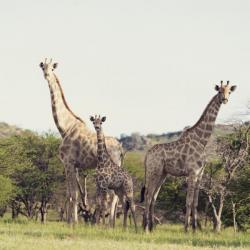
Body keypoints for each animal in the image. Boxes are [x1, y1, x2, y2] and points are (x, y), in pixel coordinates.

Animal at [38, 58, 123, 225]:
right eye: (43, 67)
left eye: (52, 68)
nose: (46, 75)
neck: (65, 127)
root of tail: (122, 149)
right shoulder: (75, 166)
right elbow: (73, 194)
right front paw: (72, 221)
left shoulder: (68, 162)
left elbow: (72, 194)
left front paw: (72, 223)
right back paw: (111, 223)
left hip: (112, 168)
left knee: (113, 197)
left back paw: (109, 223)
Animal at [142, 81, 237, 232]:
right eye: (219, 91)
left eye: (229, 92)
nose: (225, 100)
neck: (202, 141)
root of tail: (147, 155)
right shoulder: (192, 173)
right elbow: (188, 201)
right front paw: (186, 228)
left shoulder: (200, 174)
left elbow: (195, 202)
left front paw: (195, 228)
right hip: (153, 171)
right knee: (148, 195)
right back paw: (145, 227)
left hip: (163, 174)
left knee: (154, 197)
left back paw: (151, 227)